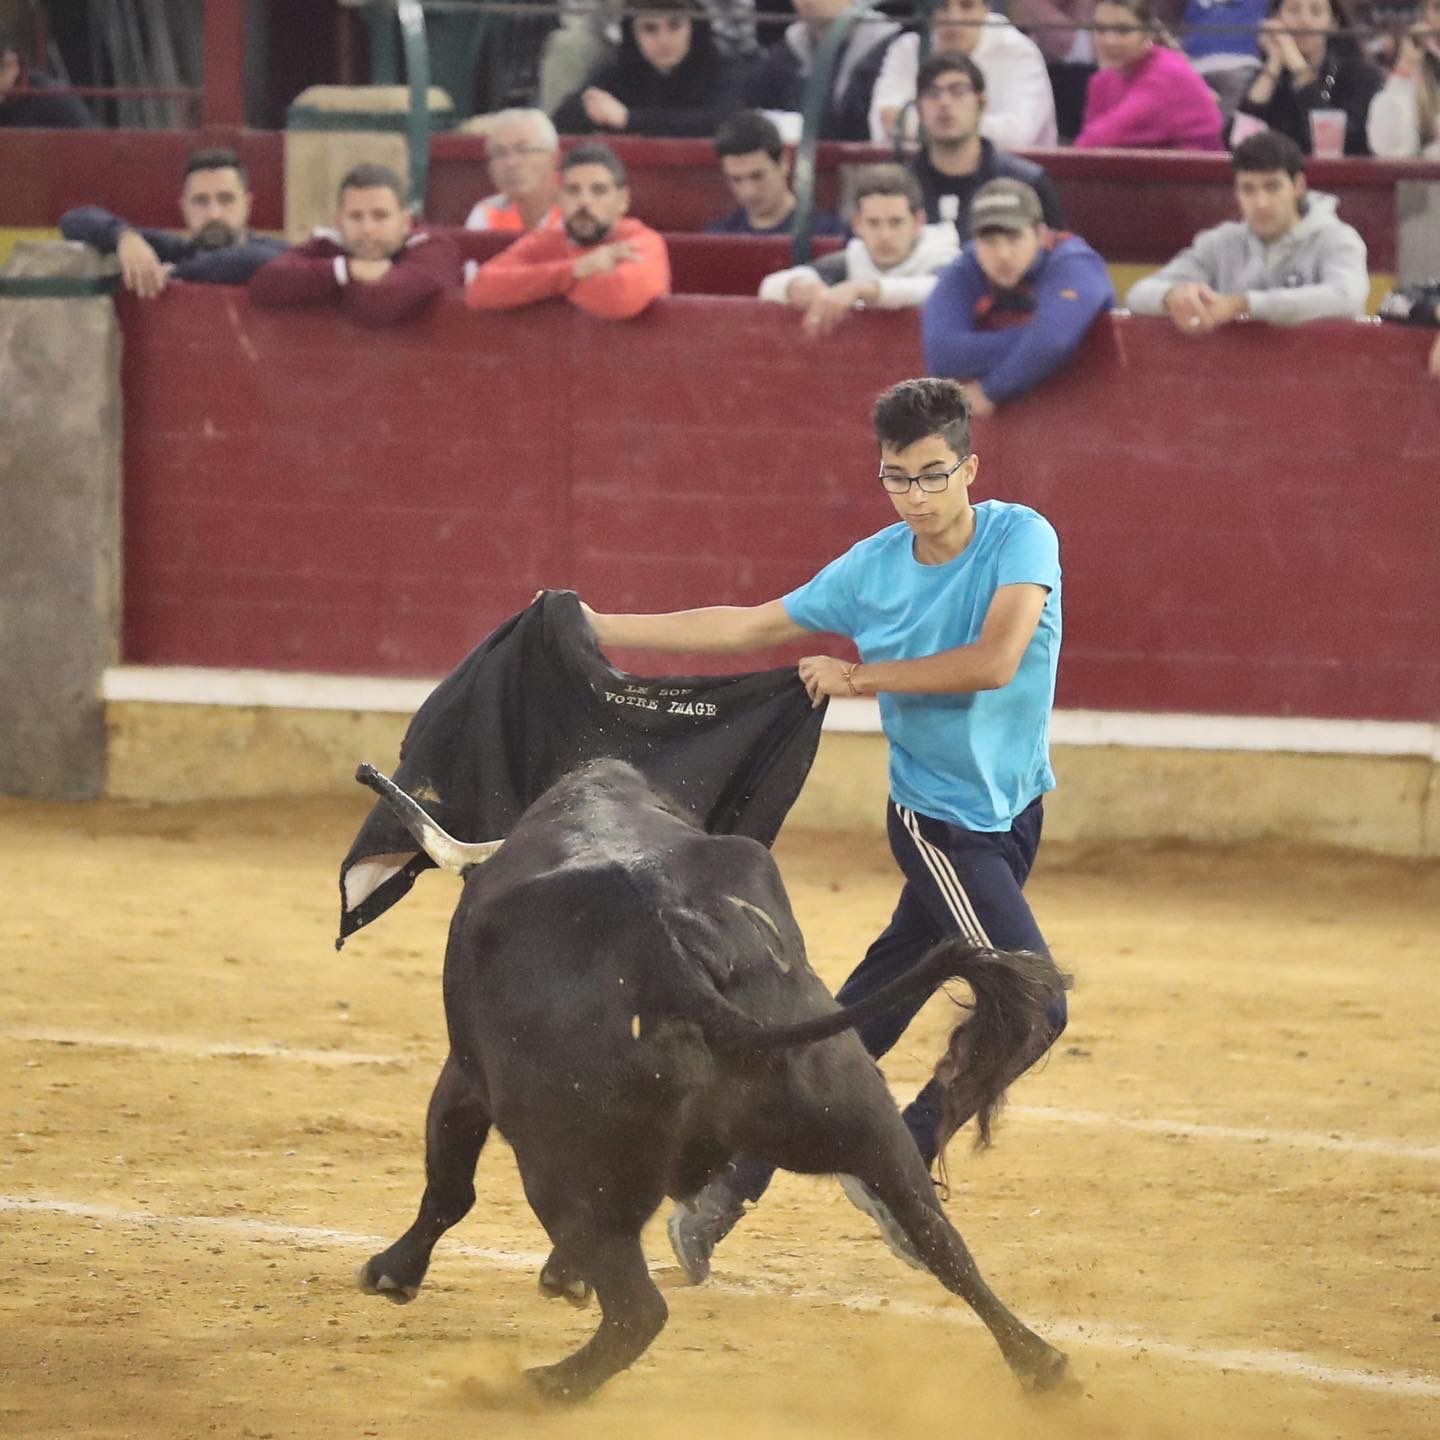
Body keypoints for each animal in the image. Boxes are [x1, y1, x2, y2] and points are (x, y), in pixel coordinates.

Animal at [351, 760, 1071, 1399]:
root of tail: (684, 961)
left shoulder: (465, 1074)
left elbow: (449, 1186)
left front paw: (393, 1274)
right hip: (867, 1126)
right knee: (945, 1245)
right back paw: (1044, 1365)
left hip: (558, 1162)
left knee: (637, 1309)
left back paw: (543, 1383)